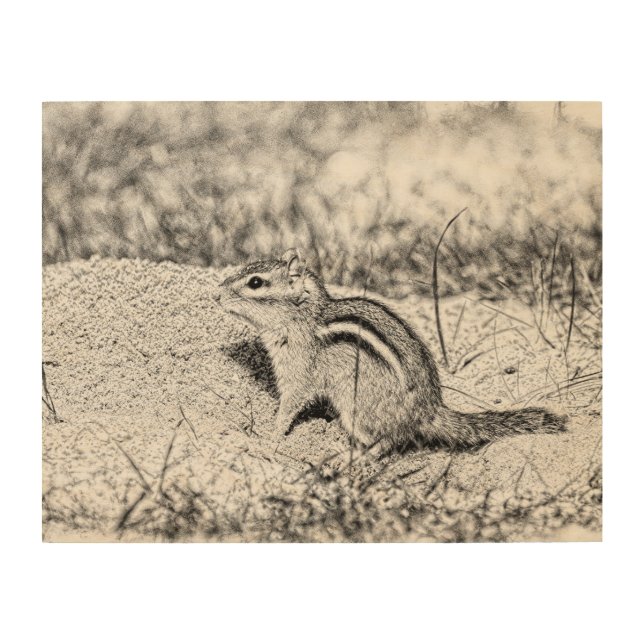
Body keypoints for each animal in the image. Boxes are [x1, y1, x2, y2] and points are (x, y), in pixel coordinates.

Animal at [217, 248, 567, 455]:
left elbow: (290, 405)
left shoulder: (299, 372)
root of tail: (428, 411)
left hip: (357, 408)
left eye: (256, 282)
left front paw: (270, 435)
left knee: (388, 441)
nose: (216, 295)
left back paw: (351, 459)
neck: (304, 317)